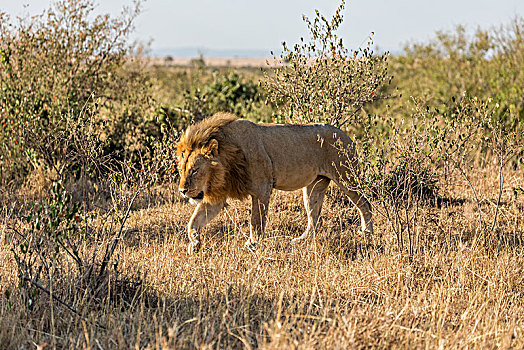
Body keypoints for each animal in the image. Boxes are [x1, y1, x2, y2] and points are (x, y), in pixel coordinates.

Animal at [176, 113, 372, 253]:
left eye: (195, 170)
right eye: (181, 170)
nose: (182, 191)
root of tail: (346, 135)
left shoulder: (262, 188)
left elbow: (256, 220)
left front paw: (252, 244)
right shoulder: (218, 195)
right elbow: (194, 221)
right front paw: (194, 244)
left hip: (346, 176)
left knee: (365, 203)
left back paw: (367, 233)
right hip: (315, 185)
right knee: (314, 216)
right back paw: (302, 240)